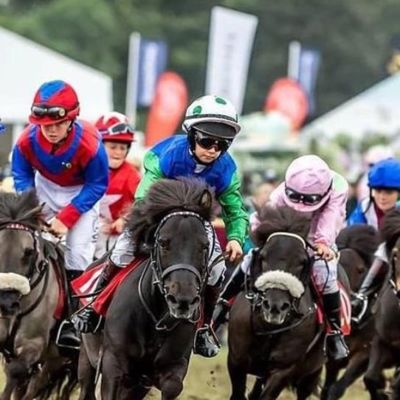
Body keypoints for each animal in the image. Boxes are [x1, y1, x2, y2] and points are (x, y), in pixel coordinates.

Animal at [79, 178, 214, 400]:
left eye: (204, 245)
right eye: (163, 242)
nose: (183, 300)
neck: (155, 320)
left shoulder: (171, 367)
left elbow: (172, 386)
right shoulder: (112, 363)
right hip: (86, 358)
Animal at [227, 206, 326, 400]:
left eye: (302, 262)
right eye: (263, 257)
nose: (275, 306)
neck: (268, 329)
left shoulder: (283, 369)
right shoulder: (236, 359)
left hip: (310, 373)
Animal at [322, 225, 378, 400]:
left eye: (361, 270)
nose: (347, 302)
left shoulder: (365, 354)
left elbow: (336, 389)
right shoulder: (333, 359)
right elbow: (326, 388)